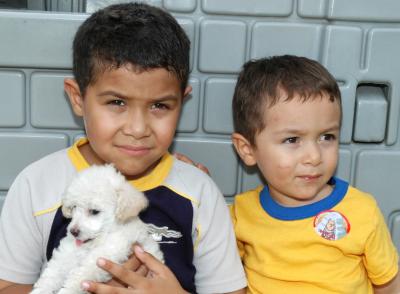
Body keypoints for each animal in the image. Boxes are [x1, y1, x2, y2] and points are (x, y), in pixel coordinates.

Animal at [30, 164, 162, 294]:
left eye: (94, 211)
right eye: (74, 207)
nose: (73, 232)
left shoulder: (105, 255)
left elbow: (79, 276)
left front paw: (66, 291)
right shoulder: (69, 251)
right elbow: (54, 271)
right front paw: (41, 290)